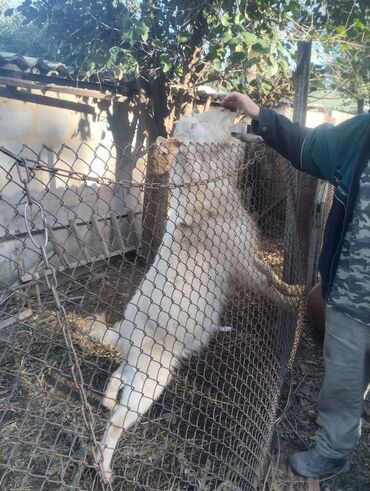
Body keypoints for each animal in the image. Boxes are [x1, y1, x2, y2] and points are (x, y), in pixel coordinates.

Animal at [91, 108, 300, 484]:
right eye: (197, 123)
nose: (231, 107)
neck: (207, 198)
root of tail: (125, 332)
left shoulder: (248, 255)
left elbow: (271, 273)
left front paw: (297, 289)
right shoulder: (241, 264)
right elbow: (268, 286)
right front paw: (296, 299)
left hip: (139, 372)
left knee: (116, 379)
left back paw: (109, 402)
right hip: (151, 382)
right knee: (115, 425)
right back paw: (104, 470)